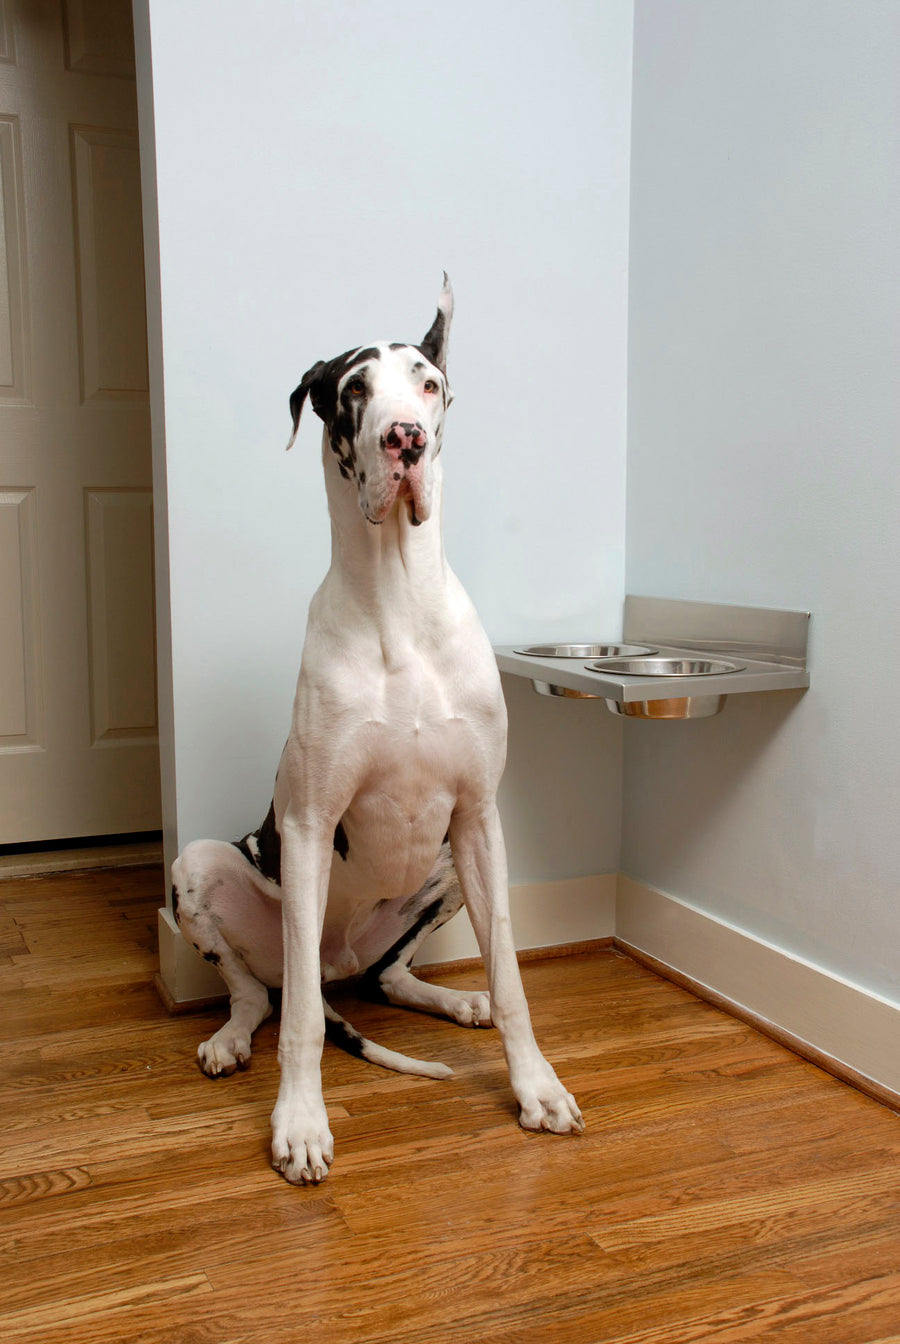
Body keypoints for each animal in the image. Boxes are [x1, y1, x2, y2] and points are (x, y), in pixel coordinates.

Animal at [173, 278, 588, 1182]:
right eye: (353, 390)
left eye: (429, 384)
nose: (407, 439)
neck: (399, 599)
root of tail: (340, 966)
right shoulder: (305, 825)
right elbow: (297, 1023)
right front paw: (299, 1123)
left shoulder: (479, 820)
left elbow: (514, 977)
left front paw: (536, 1086)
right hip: (201, 868)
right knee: (264, 993)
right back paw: (227, 1039)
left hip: (443, 868)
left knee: (388, 979)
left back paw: (456, 1000)